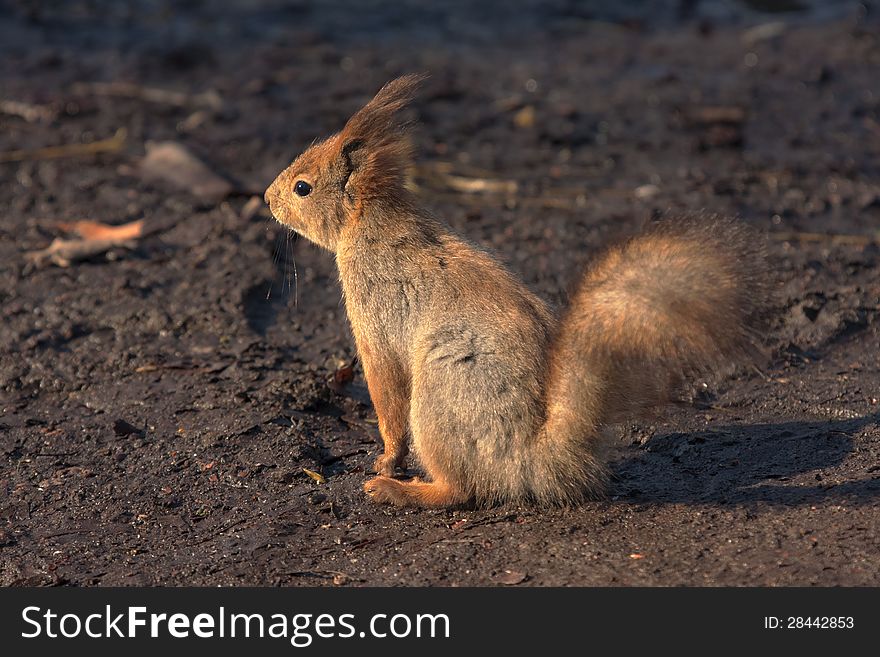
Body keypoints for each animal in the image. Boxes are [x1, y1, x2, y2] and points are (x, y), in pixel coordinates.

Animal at [264, 75, 768, 508]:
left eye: (303, 187)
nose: (267, 199)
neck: (370, 224)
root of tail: (533, 458)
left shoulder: (375, 317)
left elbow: (386, 395)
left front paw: (387, 460)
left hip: (444, 392)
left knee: (462, 488)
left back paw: (401, 490)